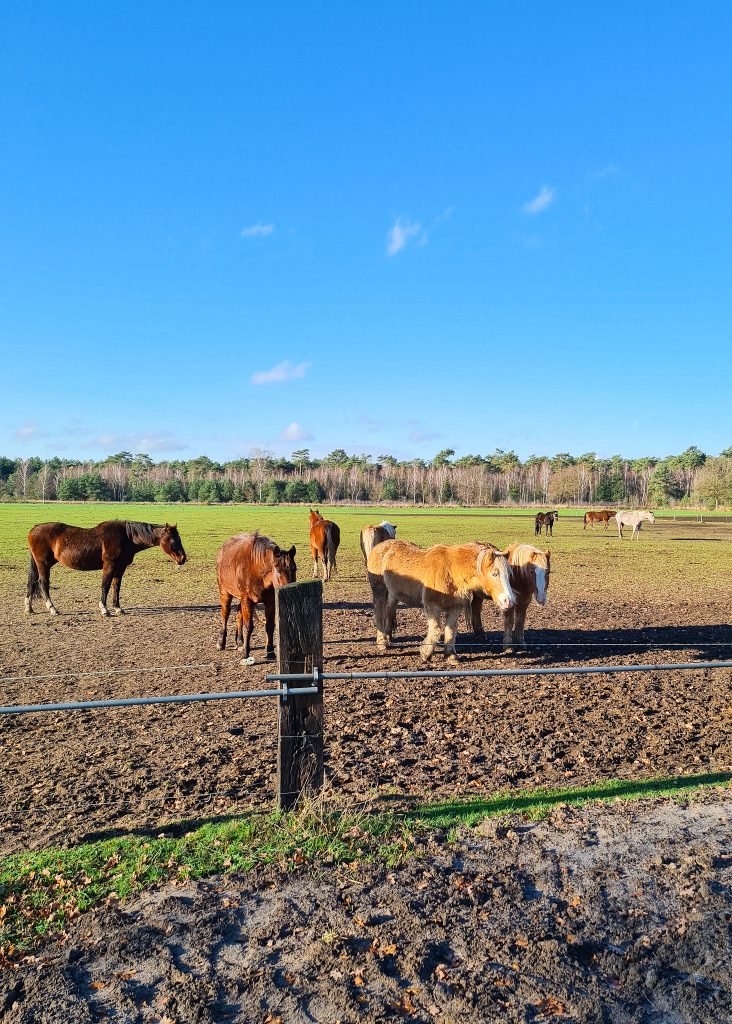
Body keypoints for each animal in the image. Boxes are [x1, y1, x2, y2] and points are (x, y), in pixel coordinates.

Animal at [27, 520, 189, 614]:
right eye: (173, 540)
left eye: (179, 538)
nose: (182, 558)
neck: (127, 537)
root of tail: (34, 529)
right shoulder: (109, 565)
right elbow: (105, 585)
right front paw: (104, 608)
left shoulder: (120, 567)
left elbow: (116, 586)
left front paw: (117, 607)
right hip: (43, 564)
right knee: (43, 583)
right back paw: (52, 608)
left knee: (32, 583)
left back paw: (29, 608)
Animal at [366, 540, 515, 667]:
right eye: (494, 574)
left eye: (509, 574)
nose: (509, 601)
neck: (451, 571)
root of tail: (379, 546)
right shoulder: (432, 606)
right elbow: (436, 630)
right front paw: (425, 653)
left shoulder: (455, 608)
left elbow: (451, 630)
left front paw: (451, 656)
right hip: (379, 590)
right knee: (379, 612)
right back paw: (382, 642)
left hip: (393, 595)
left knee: (389, 609)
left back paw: (388, 636)